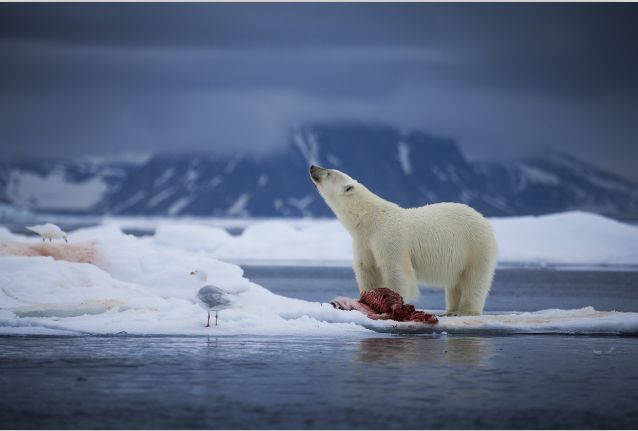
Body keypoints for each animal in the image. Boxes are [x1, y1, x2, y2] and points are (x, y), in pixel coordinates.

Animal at [310, 164, 500, 316]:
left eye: (328, 172)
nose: (312, 166)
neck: (368, 218)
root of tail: (484, 220)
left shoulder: (389, 236)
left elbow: (396, 270)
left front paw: (395, 304)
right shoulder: (364, 241)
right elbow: (367, 269)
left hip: (475, 246)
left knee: (474, 279)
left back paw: (465, 311)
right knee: (455, 282)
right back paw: (451, 310)